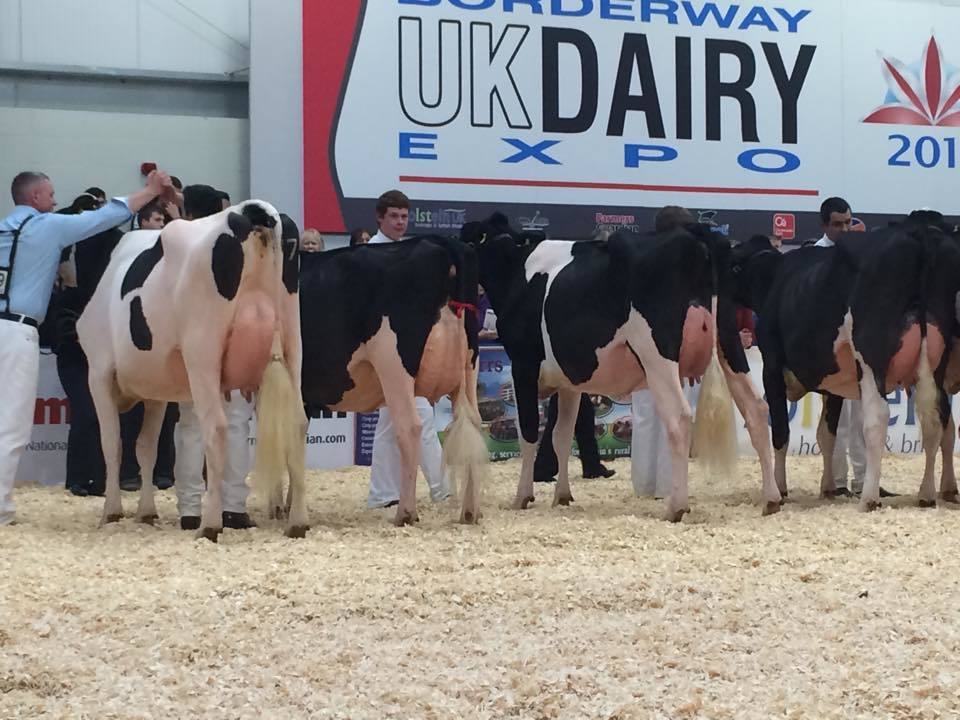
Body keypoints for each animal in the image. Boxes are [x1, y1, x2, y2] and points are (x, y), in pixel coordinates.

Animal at [77, 201, 308, 541]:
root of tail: (254, 210)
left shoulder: (99, 372)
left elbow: (113, 444)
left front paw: (112, 511)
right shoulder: (156, 390)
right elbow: (146, 447)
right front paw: (146, 512)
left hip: (203, 350)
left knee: (216, 428)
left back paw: (209, 524)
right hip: (293, 343)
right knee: (298, 424)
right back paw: (297, 522)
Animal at [297, 235, 486, 527]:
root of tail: (441, 241)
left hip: (392, 362)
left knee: (410, 427)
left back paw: (405, 513)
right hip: (468, 366)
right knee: (472, 426)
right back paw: (470, 511)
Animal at [459, 213, 781, 522]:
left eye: (468, 238)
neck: (516, 271)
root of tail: (695, 236)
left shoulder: (523, 365)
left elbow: (528, 433)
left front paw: (522, 496)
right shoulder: (568, 382)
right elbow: (561, 435)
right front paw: (562, 495)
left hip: (656, 353)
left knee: (679, 417)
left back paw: (676, 507)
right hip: (730, 345)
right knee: (756, 410)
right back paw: (771, 499)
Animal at [730, 214, 960, 510]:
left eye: (733, 267)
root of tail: (919, 231)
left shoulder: (771, 367)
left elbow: (781, 431)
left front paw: (779, 489)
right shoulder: (834, 384)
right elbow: (826, 435)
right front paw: (828, 487)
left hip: (871, 354)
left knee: (879, 417)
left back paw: (870, 498)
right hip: (933, 359)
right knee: (935, 420)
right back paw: (928, 493)